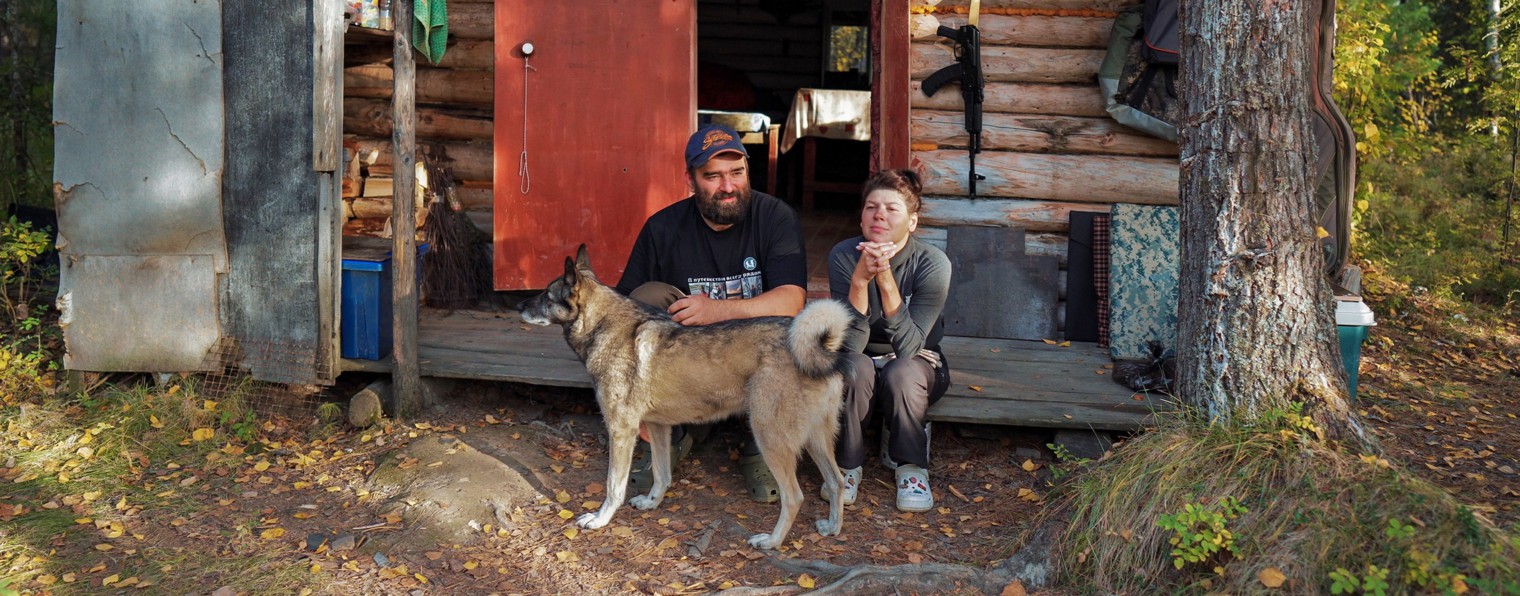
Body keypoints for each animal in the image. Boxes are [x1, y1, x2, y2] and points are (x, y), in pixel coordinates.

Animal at [522, 244, 857, 547]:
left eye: (546, 296)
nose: (519, 307)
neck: (605, 327)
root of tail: (821, 349)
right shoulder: (657, 428)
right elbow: (662, 474)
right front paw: (652, 502)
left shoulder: (621, 430)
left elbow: (613, 487)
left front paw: (600, 519)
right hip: (815, 439)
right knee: (836, 481)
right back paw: (832, 528)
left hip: (770, 436)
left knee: (794, 497)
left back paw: (772, 541)